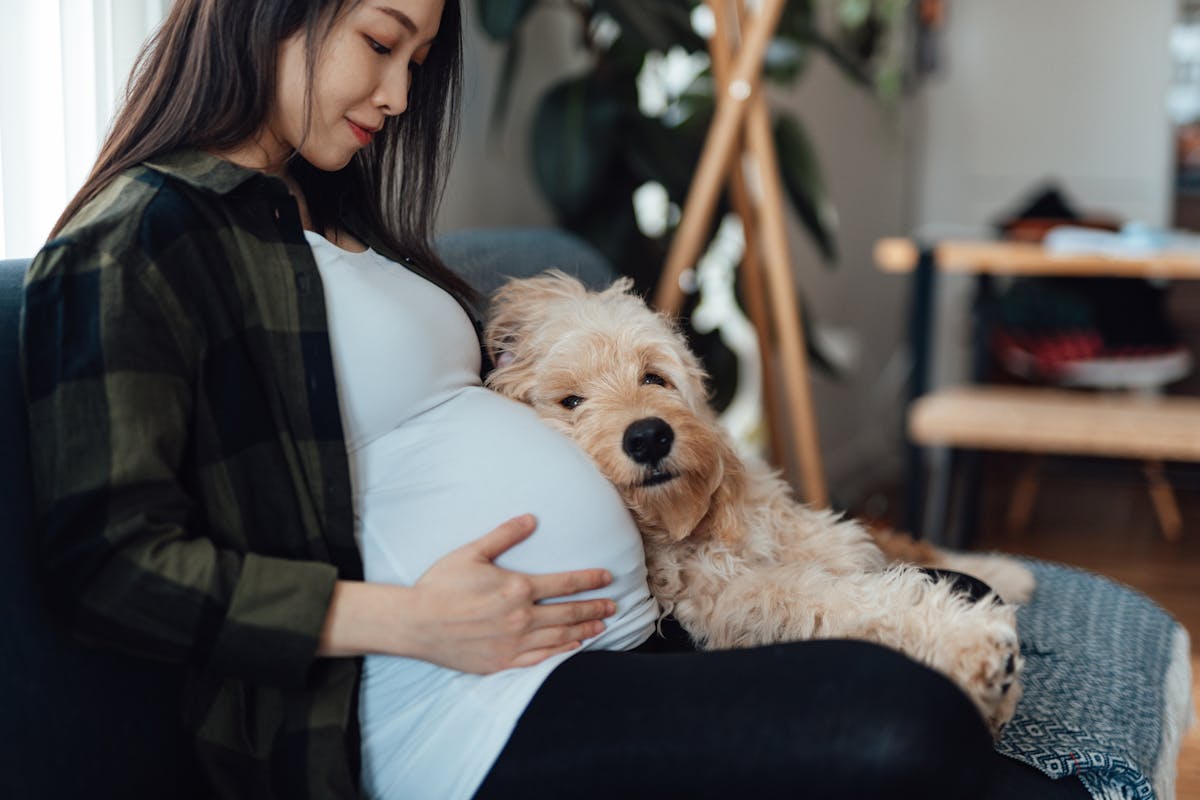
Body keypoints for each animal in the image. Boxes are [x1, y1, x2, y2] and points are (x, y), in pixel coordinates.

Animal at [484, 272, 1032, 734]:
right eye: (571, 402)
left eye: (653, 377)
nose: (648, 437)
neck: (691, 525)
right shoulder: (745, 598)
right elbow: (853, 602)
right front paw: (973, 647)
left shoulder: (822, 533)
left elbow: (893, 550)